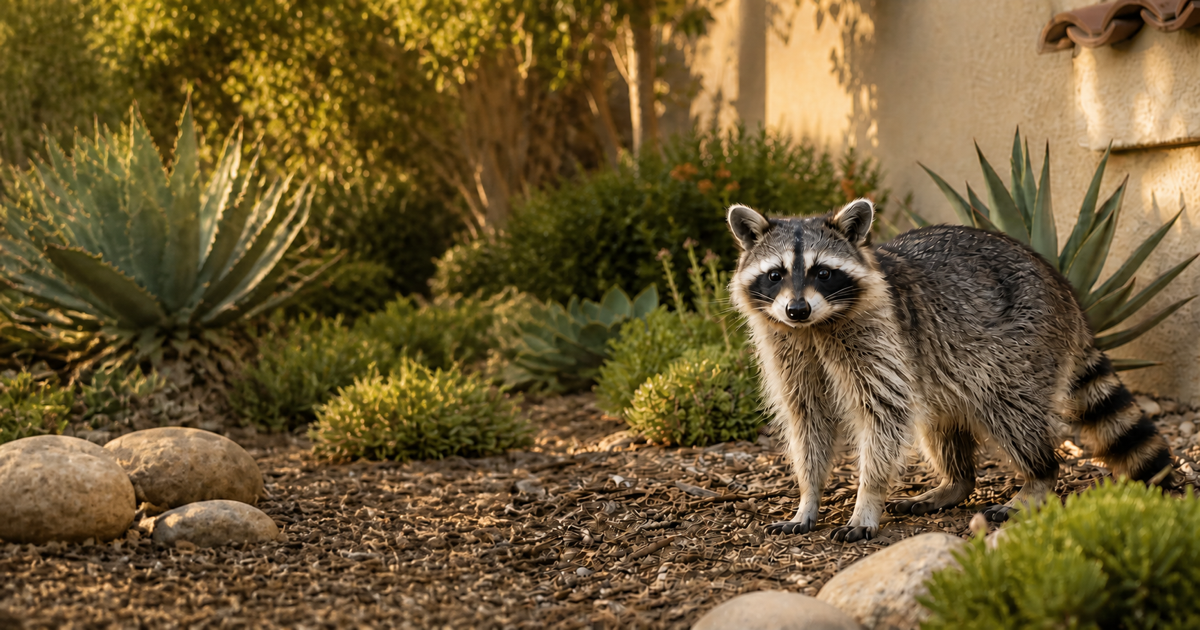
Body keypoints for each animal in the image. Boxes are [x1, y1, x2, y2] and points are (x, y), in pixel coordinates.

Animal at [727, 199, 1174, 542]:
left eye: (823, 272)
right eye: (775, 275)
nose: (796, 309)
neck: (816, 328)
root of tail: (1063, 288)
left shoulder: (881, 337)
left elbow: (884, 416)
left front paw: (866, 499)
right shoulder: (789, 349)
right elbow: (808, 419)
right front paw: (808, 496)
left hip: (1023, 345)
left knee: (1010, 412)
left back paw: (1039, 477)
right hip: (944, 365)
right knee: (940, 424)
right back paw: (956, 482)